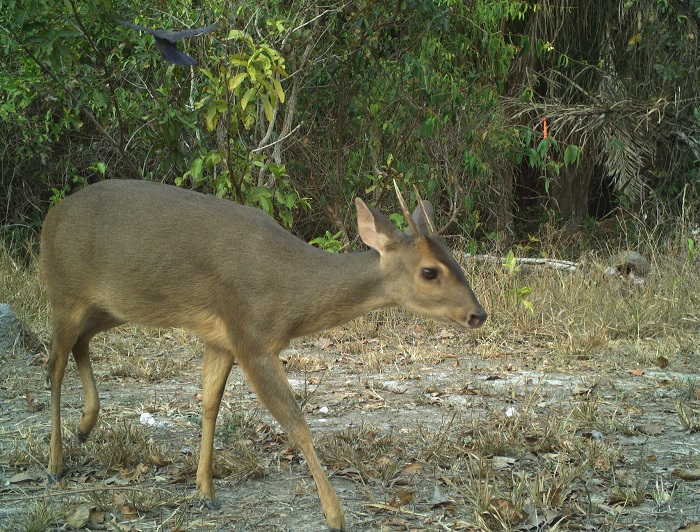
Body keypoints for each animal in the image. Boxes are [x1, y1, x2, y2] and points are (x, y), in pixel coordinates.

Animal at [39, 180, 486, 532]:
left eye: (455, 260)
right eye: (429, 271)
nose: (478, 314)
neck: (291, 293)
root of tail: (51, 215)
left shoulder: (223, 337)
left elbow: (209, 404)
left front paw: (206, 491)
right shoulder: (252, 338)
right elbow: (297, 423)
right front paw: (335, 515)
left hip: (112, 305)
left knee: (79, 344)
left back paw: (85, 426)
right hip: (64, 292)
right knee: (53, 365)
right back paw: (55, 465)